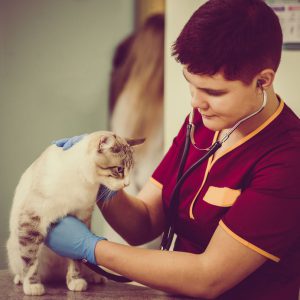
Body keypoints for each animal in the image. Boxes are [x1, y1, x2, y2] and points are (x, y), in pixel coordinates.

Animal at [5, 131, 144, 296]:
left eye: (131, 170)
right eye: (119, 169)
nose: (126, 184)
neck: (82, 181)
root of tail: (54, 276)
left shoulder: (82, 218)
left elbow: (76, 256)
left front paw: (75, 281)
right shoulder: (33, 218)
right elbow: (30, 258)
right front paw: (32, 285)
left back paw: (96, 277)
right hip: (13, 246)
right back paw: (20, 279)